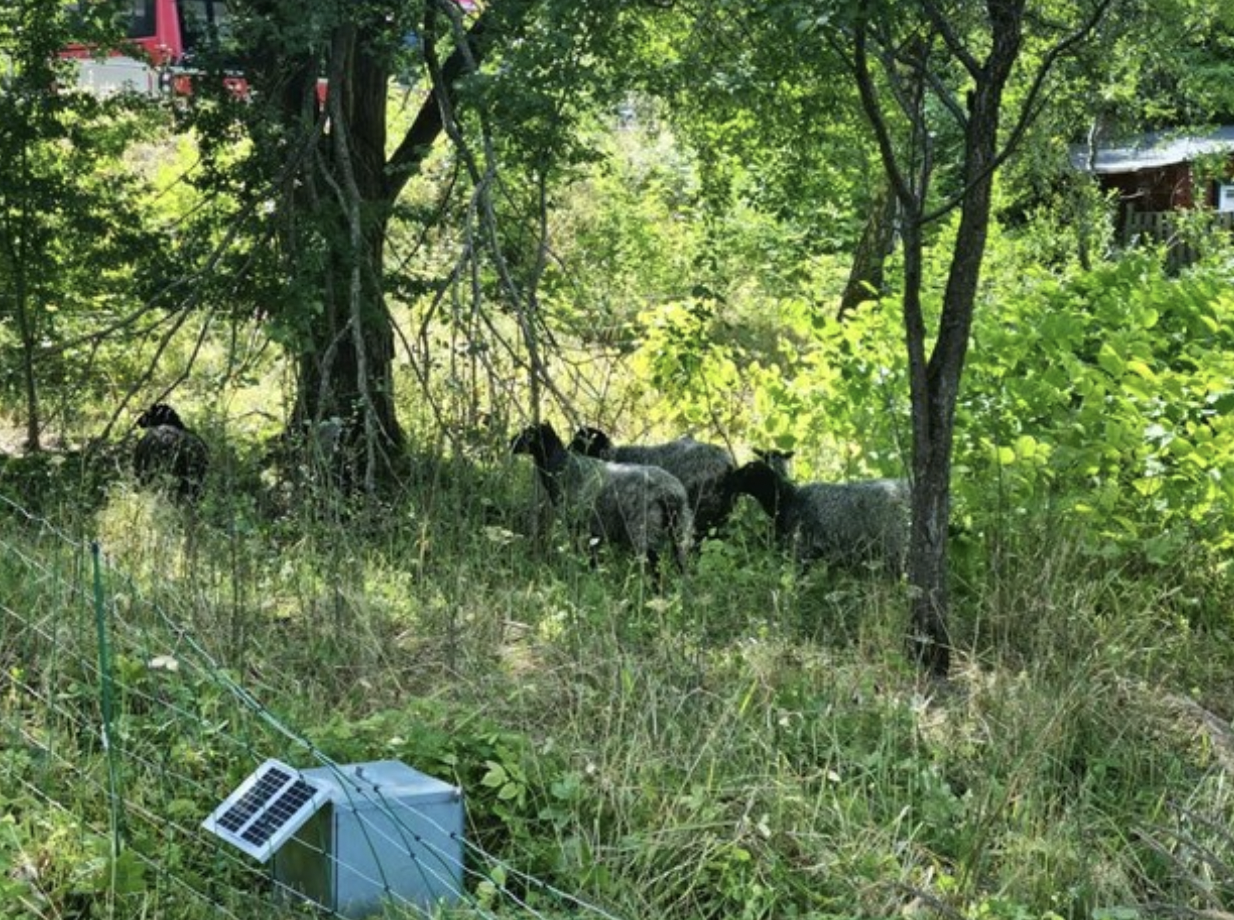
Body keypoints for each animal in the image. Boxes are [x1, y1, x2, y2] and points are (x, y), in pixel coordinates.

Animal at [510, 421, 695, 572]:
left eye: (528, 434)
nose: (510, 443)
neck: (562, 465)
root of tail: (671, 493)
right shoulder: (595, 529)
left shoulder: (576, 521)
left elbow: (577, 548)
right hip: (679, 530)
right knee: (680, 563)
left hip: (644, 529)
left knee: (653, 566)